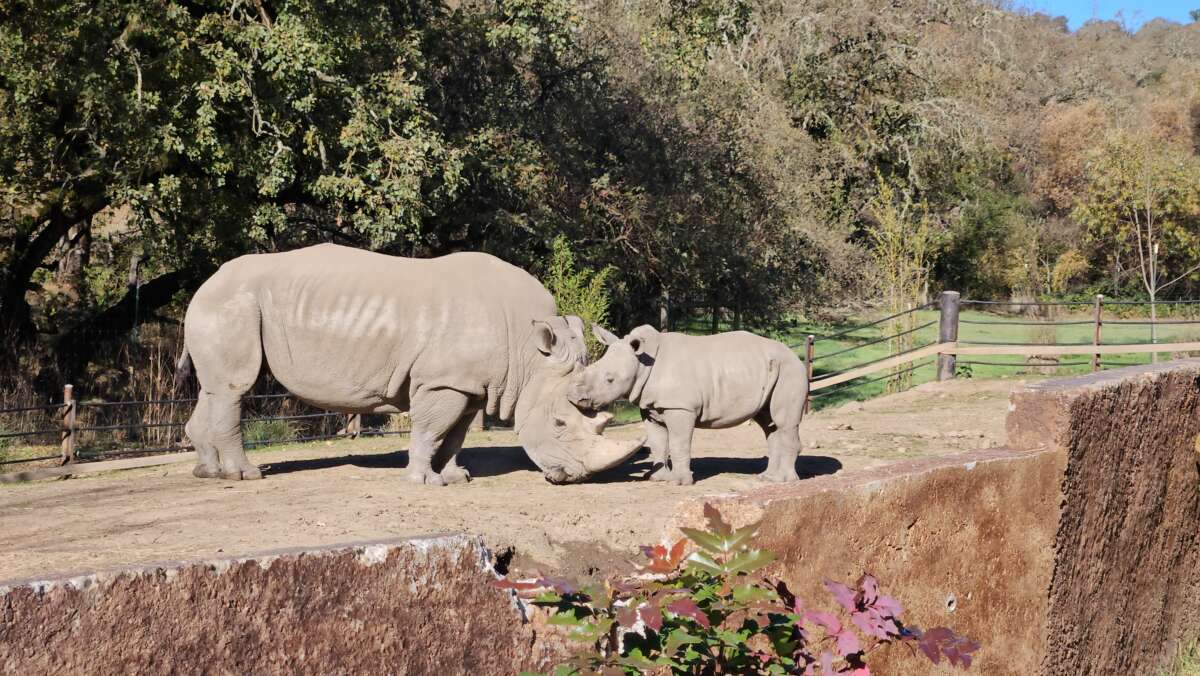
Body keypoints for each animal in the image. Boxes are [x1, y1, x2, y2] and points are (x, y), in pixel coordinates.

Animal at [176, 243, 643, 485]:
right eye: (560, 423)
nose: (576, 477)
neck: (529, 355)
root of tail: (204, 285)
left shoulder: (471, 384)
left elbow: (455, 435)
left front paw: (456, 477)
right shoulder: (444, 381)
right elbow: (431, 428)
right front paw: (424, 481)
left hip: (222, 307)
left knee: (212, 389)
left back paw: (207, 473)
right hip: (232, 304)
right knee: (235, 388)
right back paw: (246, 476)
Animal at [567, 325, 808, 485]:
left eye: (610, 380)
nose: (574, 397)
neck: (643, 364)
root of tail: (795, 356)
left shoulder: (680, 407)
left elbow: (678, 443)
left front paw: (679, 482)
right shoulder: (650, 407)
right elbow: (658, 443)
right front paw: (656, 478)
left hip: (790, 370)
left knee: (784, 423)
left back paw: (785, 481)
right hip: (769, 369)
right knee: (769, 424)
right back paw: (767, 478)